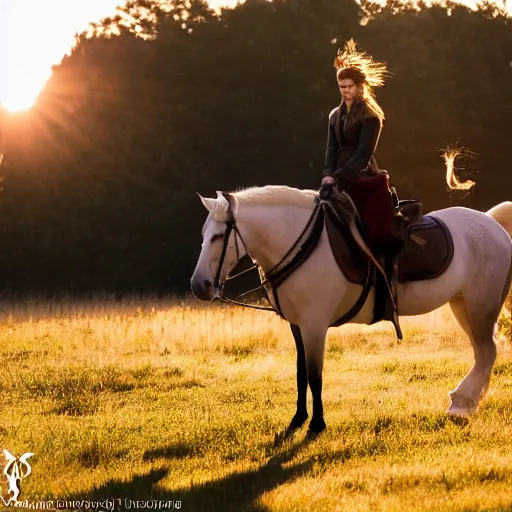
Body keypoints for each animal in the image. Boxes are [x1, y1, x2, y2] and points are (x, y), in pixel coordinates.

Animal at [191, 188, 512, 436]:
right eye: (203, 235)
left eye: (219, 236)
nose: (199, 286)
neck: (302, 245)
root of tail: (492, 224)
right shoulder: (297, 326)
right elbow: (300, 373)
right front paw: (298, 419)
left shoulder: (314, 325)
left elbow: (315, 375)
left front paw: (317, 424)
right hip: (462, 304)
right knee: (483, 352)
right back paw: (464, 401)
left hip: (480, 305)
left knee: (487, 352)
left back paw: (462, 403)